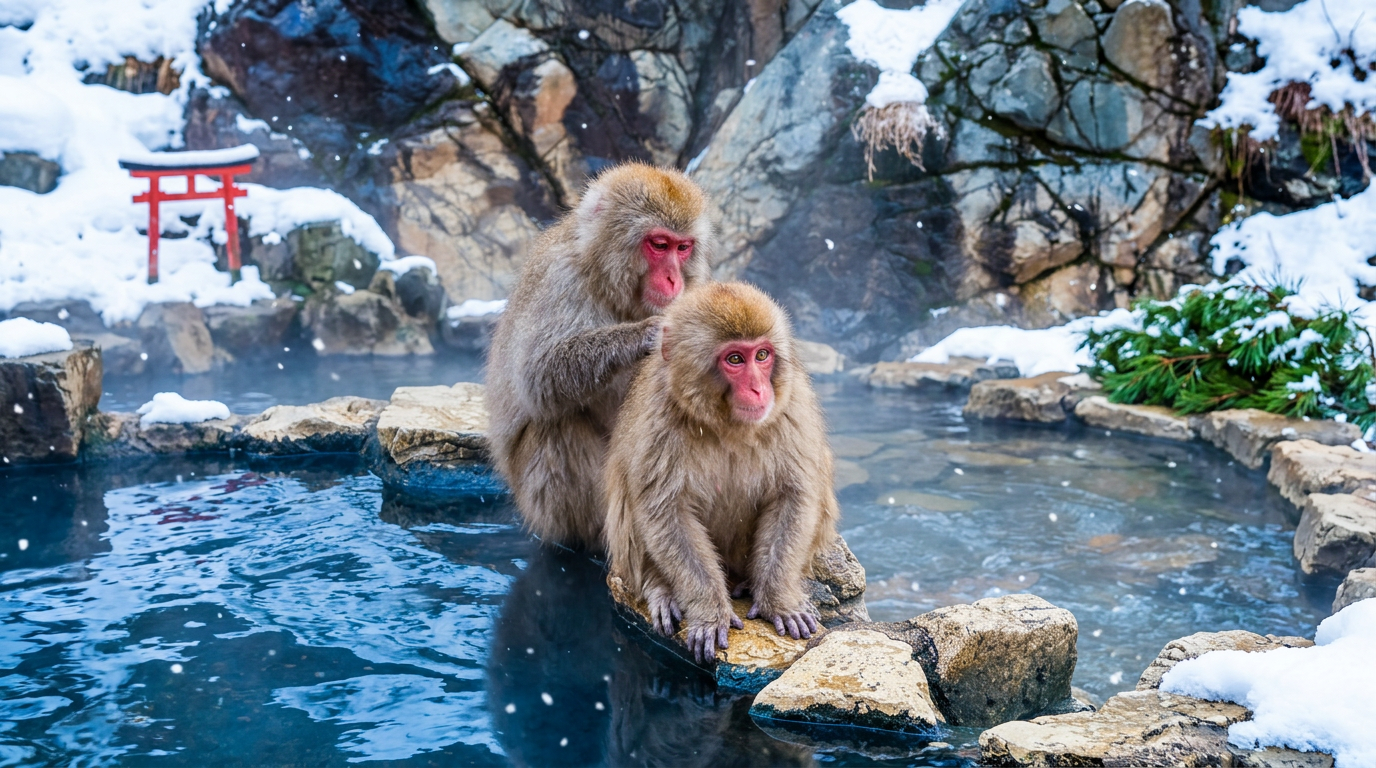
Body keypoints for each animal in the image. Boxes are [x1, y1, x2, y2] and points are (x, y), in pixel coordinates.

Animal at [486, 163, 717, 550]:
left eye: (683, 247)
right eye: (659, 245)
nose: (674, 280)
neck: (607, 282)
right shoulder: (559, 278)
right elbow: (537, 375)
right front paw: (645, 334)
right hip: (538, 508)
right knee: (556, 427)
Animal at [604, 282, 840, 663]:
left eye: (762, 355)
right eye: (735, 360)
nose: (759, 389)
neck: (727, 424)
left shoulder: (792, 406)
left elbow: (793, 495)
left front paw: (780, 601)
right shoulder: (659, 418)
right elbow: (666, 511)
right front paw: (709, 613)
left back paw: (748, 583)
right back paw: (660, 588)